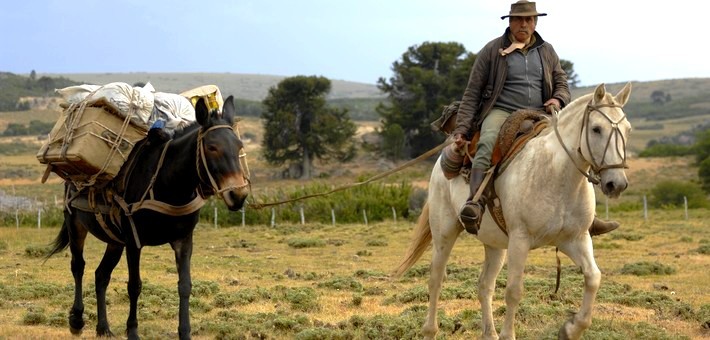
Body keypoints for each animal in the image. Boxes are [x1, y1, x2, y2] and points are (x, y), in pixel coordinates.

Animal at [394, 83, 636, 340]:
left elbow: (593, 277)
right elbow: (514, 291)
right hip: (444, 234)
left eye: (628, 130)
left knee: (484, 285)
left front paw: (570, 328)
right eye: (596, 129)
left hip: (495, 245)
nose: (616, 184)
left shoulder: (576, 240)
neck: (558, 176)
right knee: (436, 279)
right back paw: (430, 330)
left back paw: (489, 334)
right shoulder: (520, 240)